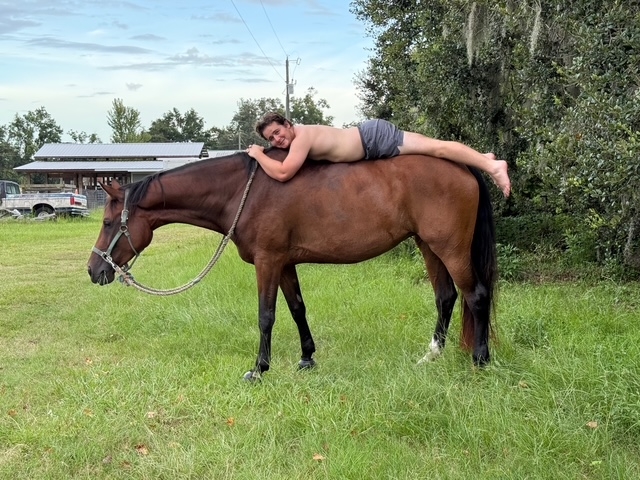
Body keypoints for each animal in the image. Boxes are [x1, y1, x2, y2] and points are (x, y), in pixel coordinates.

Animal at [87, 148, 497, 380]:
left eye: (107, 222)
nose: (94, 270)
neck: (247, 191)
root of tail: (465, 167)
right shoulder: (284, 263)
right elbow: (297, 308)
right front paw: (306, 358)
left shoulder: (267, 262)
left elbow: (266, 315)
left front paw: (259, 369)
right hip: (428, 246)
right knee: (446, 297)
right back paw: (431, 356)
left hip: (450, 249)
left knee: (476, 295)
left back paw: (480, 361)